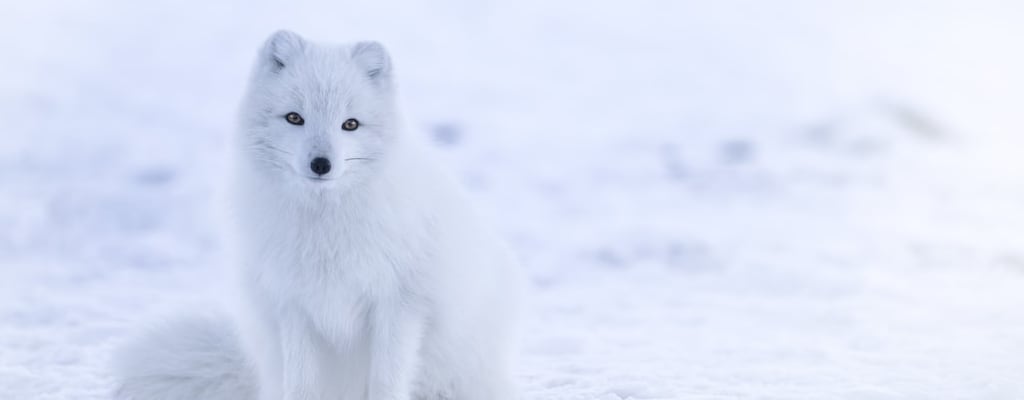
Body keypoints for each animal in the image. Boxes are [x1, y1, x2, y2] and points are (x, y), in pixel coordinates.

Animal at [116, 31, 524, 400]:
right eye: (294, 118)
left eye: (350, 124)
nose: (321, 164)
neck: (325, 227)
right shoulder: (294, 306)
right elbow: (302, 385)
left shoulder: (400, 305)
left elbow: (386, 383)